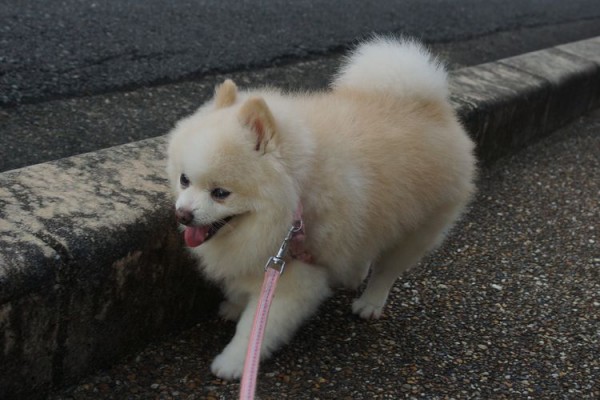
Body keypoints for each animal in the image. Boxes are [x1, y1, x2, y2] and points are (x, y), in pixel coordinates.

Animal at [166, 36, 476, 378]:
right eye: (184, 180)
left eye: (221, 193)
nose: (183, 214)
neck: (295, 197)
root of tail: (431, 105)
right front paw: (235, 304)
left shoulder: (293, 273)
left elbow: (256, 326)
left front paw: (234, 363)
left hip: (419, 227)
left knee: (388, 268)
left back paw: (370, 302)